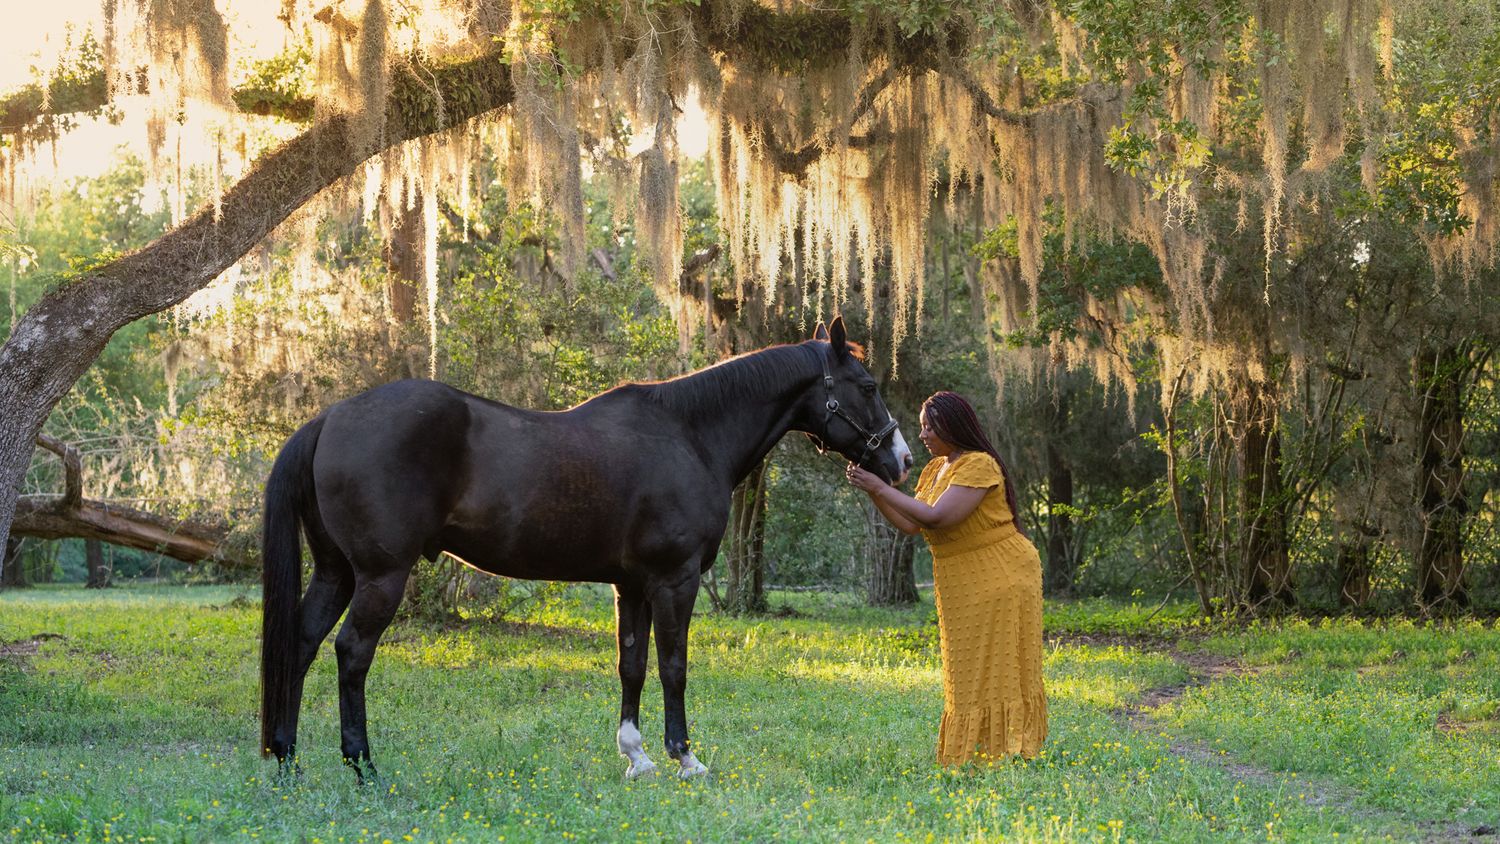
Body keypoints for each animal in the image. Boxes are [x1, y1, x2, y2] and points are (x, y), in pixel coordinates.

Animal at [259, 316, 913, 782]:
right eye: (868, 386)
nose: (902, 459)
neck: (690, 435)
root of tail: (329, 418)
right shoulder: (675, 580)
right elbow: (673, 666)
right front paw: (685, 758)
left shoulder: (634, 585)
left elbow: (632, 666)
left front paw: (636, 757)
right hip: (380, 576)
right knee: (351, 653)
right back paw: (364, 767)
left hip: (337, 573)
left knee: (301, 644)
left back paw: (288, 761)